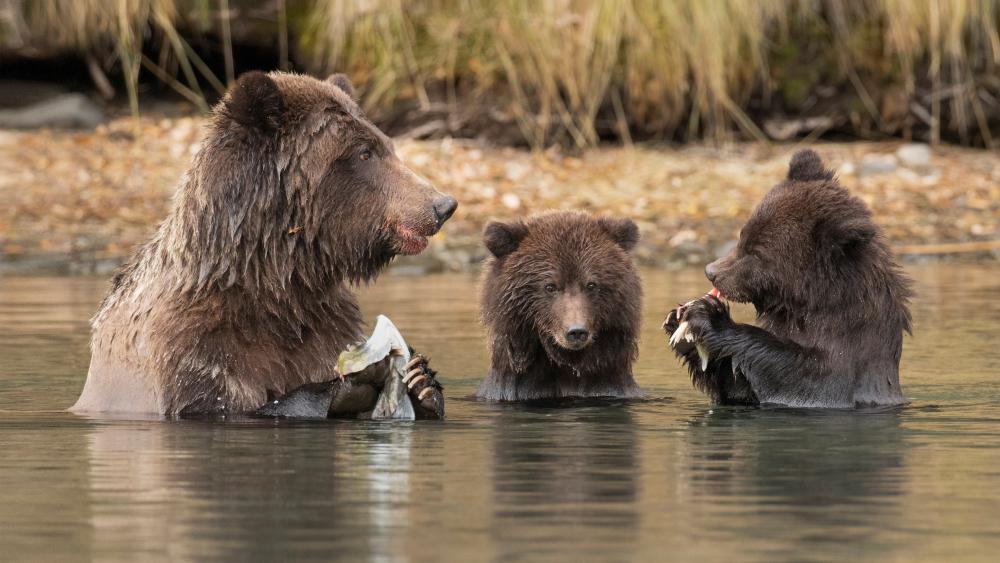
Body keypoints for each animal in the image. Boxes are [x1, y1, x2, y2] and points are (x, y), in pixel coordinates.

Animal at [71, 71, 457, 417]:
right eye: (364, 152)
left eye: (388, 146)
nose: (442, 204)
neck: (274, 280)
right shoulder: (189, 349)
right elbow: (226, 403)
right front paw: (348, 384)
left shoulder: (324, 324)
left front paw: (421, 380)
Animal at [663, 149, 912, 408]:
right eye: (743, 235)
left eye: (757, 252)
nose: (712, 271)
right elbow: (736, 385)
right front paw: (679, 324)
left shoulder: (844, 364)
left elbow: (801, 374)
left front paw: (709, 316)